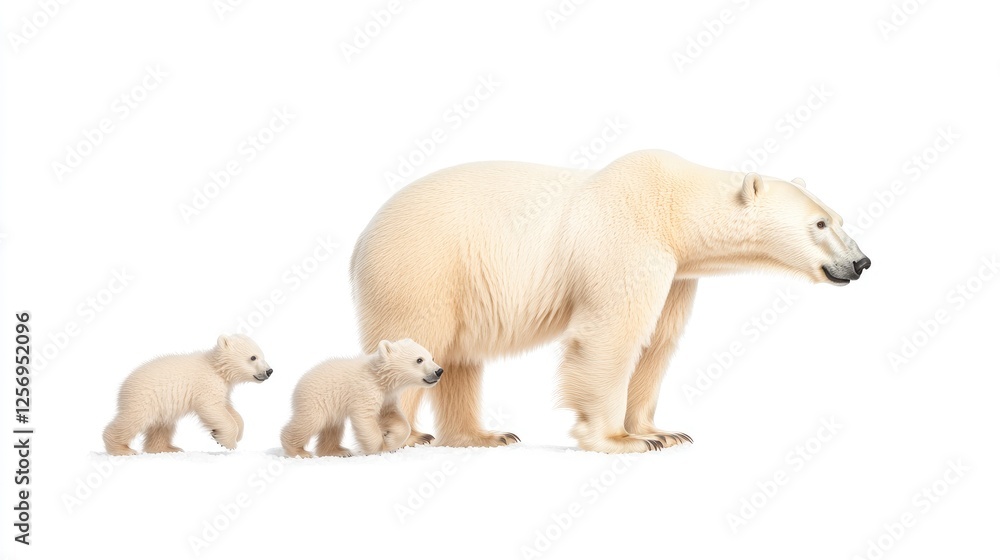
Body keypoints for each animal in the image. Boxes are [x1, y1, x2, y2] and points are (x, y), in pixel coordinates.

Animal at [102, 334, 273, 455]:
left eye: (263, 355)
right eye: (253, 357)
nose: (269, 371)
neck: (216, 367)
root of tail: (123, 386)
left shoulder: (222, 387)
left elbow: (228, 408)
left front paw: (225, 434)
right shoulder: (206, 383)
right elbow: (211, 407)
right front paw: (226, 442)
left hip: (162, 406)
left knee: (162, 426)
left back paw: (167, 448)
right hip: (144, 399)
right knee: (132, 421)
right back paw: (121, 449)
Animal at [280, 339, 445, 458]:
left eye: (432, 357)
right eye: (419, 360)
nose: (439, 371)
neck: (379, 376)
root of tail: (298, 384)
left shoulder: (388, 395)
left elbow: (392, 415)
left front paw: (390, 440)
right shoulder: (366, 389)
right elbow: (365, 417)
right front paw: (379, 447)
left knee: (333, 427)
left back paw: (339, 451)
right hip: (316, 399)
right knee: (309, 423)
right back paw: (298, 451)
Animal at [349, 150, 871, 453]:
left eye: (838, 218)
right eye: (820, 224)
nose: (861, 262)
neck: (673, 205)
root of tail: (361, 238)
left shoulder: (677, 271)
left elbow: (658, 341)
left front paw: (660, 432)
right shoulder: (628, 240)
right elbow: (612, 333)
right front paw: (618, 439)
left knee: (460, 357)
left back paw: (484, 435)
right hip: (424, 264)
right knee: (417, 339)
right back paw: (405, 435)